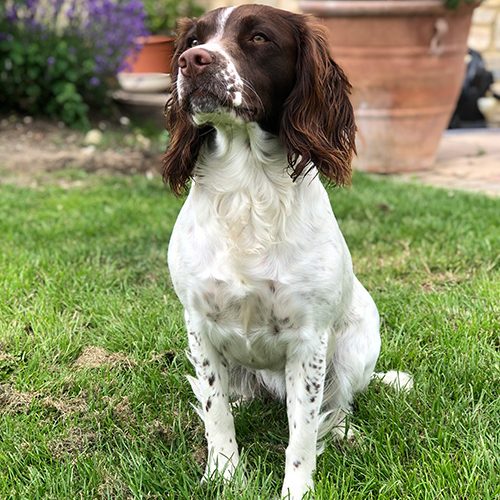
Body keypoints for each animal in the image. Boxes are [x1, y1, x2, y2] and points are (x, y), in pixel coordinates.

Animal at [162, 4, 408, 500]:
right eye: (193, 39)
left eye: (259, 37)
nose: (191, 61)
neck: (247, 187)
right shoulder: (198, 325)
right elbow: (216, 411)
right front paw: (223, 475)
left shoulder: (309, 339)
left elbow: (304, 430)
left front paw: (297, 487)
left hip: (356, 344)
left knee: (338, 404)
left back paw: (343, 430)